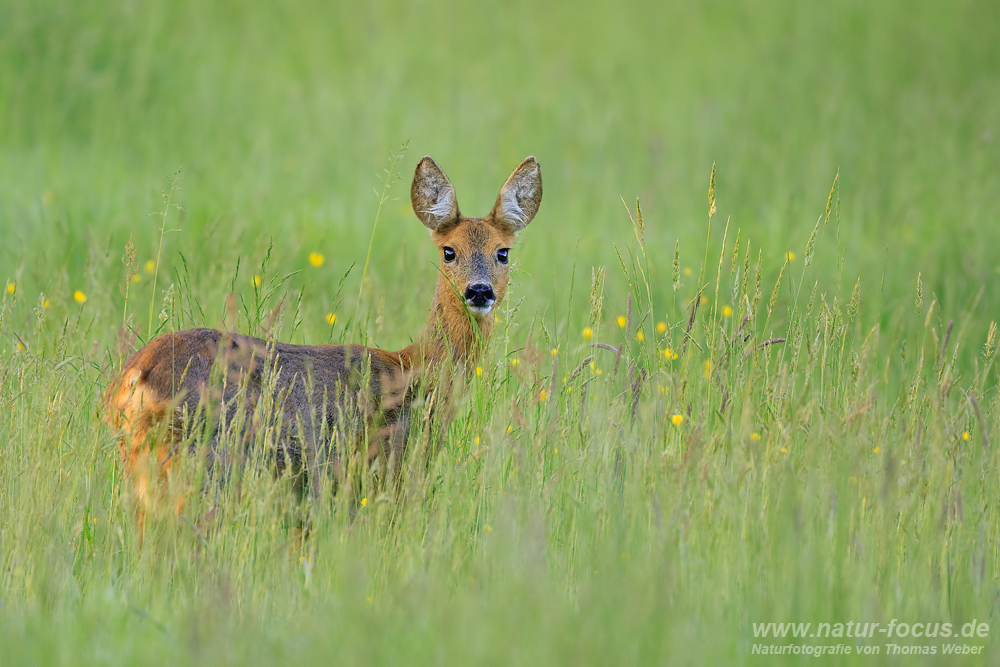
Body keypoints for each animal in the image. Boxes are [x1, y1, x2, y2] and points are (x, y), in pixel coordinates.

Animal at [103, 157, 540, 536]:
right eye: (449, 252)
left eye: (503, 252)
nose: (479, 291)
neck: (415, 373)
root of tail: (132, 379)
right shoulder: (378, 473)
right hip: (204, 463)